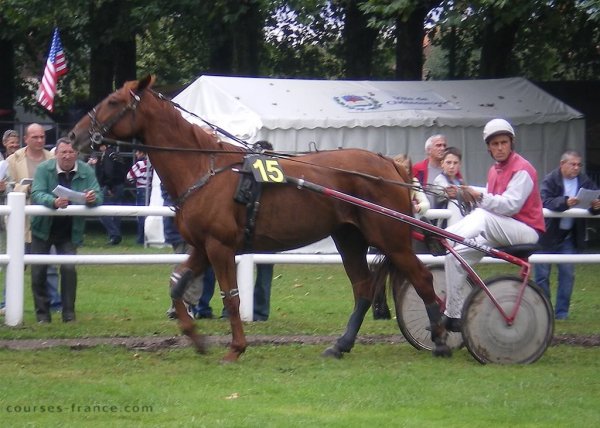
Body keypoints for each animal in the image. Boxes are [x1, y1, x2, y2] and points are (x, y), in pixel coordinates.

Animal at [69, 76, 450, 362]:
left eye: (114, 101)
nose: (73, 136)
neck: (204, 167)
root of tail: (390, 164)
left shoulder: (220, 247)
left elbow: (231, 296)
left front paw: (235, 348)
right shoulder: (201, 246)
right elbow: (177, 286)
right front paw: (195, 337)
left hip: (392, 238)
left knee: (421, 279)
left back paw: (440, 338)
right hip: (349, 239)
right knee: (362, 288)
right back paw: (341, 345)